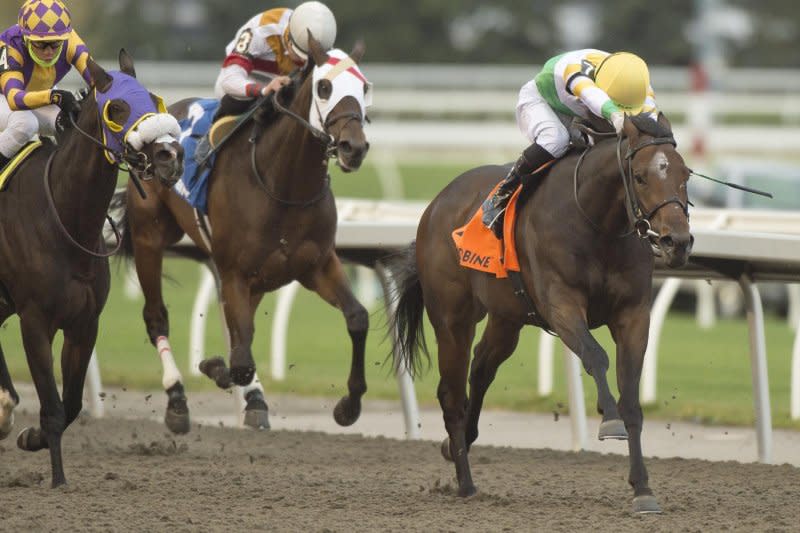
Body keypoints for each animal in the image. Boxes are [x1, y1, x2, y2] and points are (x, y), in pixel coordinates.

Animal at [0, 51, 183, 486]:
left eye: (153, 99)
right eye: (117, 109)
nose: (170, 156)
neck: (64, 218)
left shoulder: (84, 324)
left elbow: (70, 405)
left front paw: (31, 437)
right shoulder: (35, 320)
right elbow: (52, 406)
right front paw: (58, 480)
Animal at [114, 38, 370, 432]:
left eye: (365, 87)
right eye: (325, 87)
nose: (353, 148)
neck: (283, 185)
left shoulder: (317, 265)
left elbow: (357, 317)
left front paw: (348, 405)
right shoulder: (235, 272)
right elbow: (241, 359)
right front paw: (215, 367)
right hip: (149, 236)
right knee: (156, 315)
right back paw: (177, 400)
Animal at [390, 113, 692, 516]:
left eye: (685, 173)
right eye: (641, 176)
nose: (679, 242)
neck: (597, 222)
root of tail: (435, 205)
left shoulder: (633, 315)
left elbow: (631, 398)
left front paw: (642, 489)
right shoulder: (561, 304)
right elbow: (595, 355)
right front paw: (608, 418)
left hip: (507, 317)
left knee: (480, 368)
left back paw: (457, 446)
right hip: (452, 317)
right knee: (451, 393)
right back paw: (466, 483)